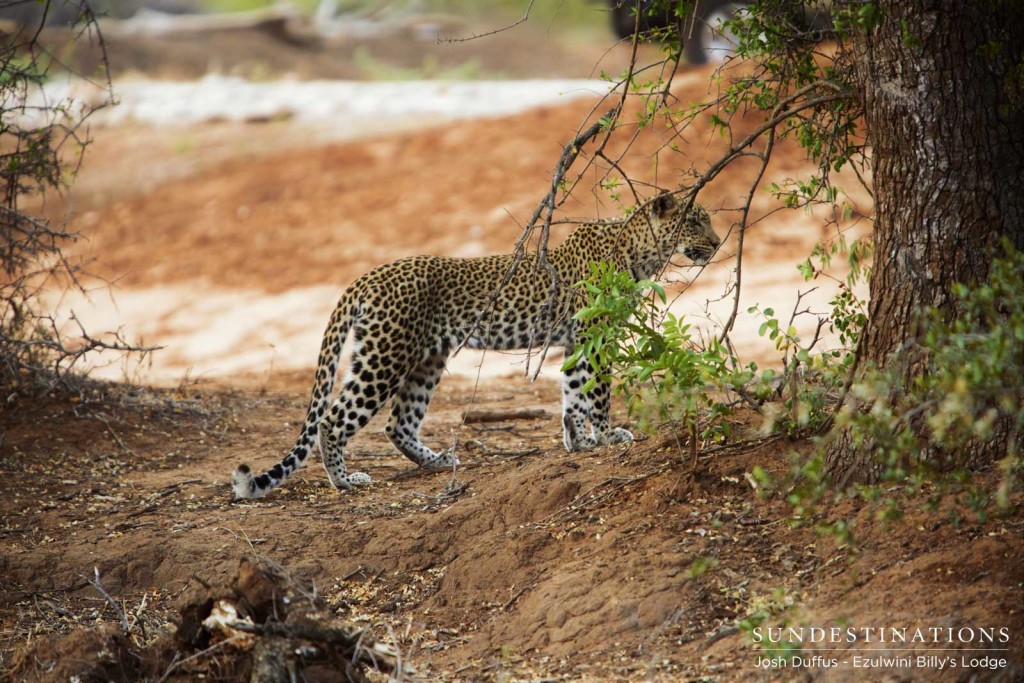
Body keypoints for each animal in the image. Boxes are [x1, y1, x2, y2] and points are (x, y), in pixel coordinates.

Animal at [234, 189, 720, 499]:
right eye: (696, 221)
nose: (717, 243)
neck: (639, 252)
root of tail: (368, 276)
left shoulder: (576, 340)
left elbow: (573, 393)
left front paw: (579, 441)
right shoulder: (595, 334)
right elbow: (596, 390)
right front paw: (607, 434)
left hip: (426, 360)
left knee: (398, 423)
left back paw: (437, 461)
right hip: (384, 358)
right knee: (333, 419)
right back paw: (345, 481)